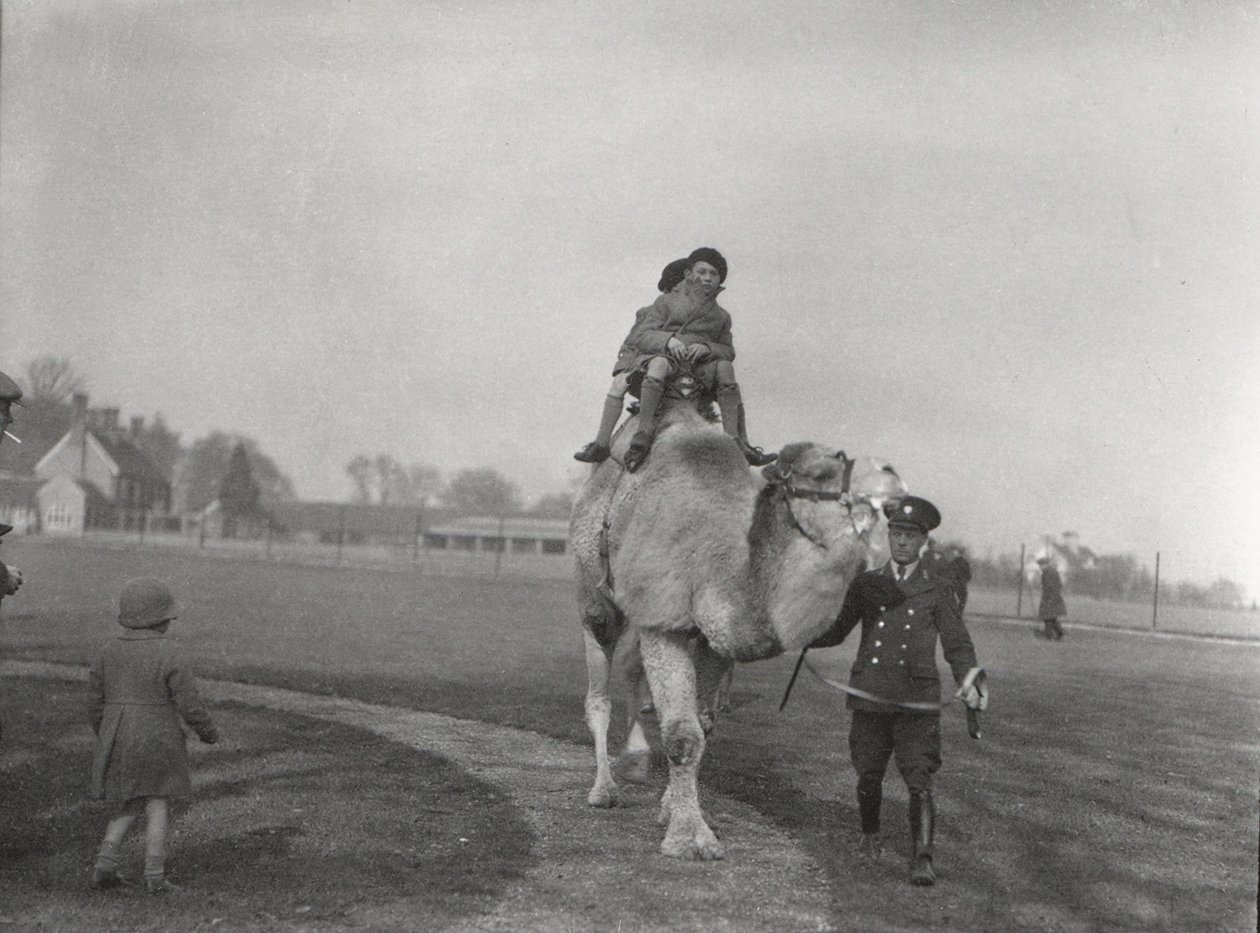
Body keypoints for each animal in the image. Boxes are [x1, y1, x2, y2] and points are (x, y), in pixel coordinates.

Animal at [572, 390, 907, 857]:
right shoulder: (665, 619)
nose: (892, 475)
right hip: (595, 593)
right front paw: (689, 838)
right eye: (822, 471)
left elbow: (702, 726)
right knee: (599, 684)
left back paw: (635, 761)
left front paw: (672, 810)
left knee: (632, 671)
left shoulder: (712, 638)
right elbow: (682, 734)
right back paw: (604, 789)